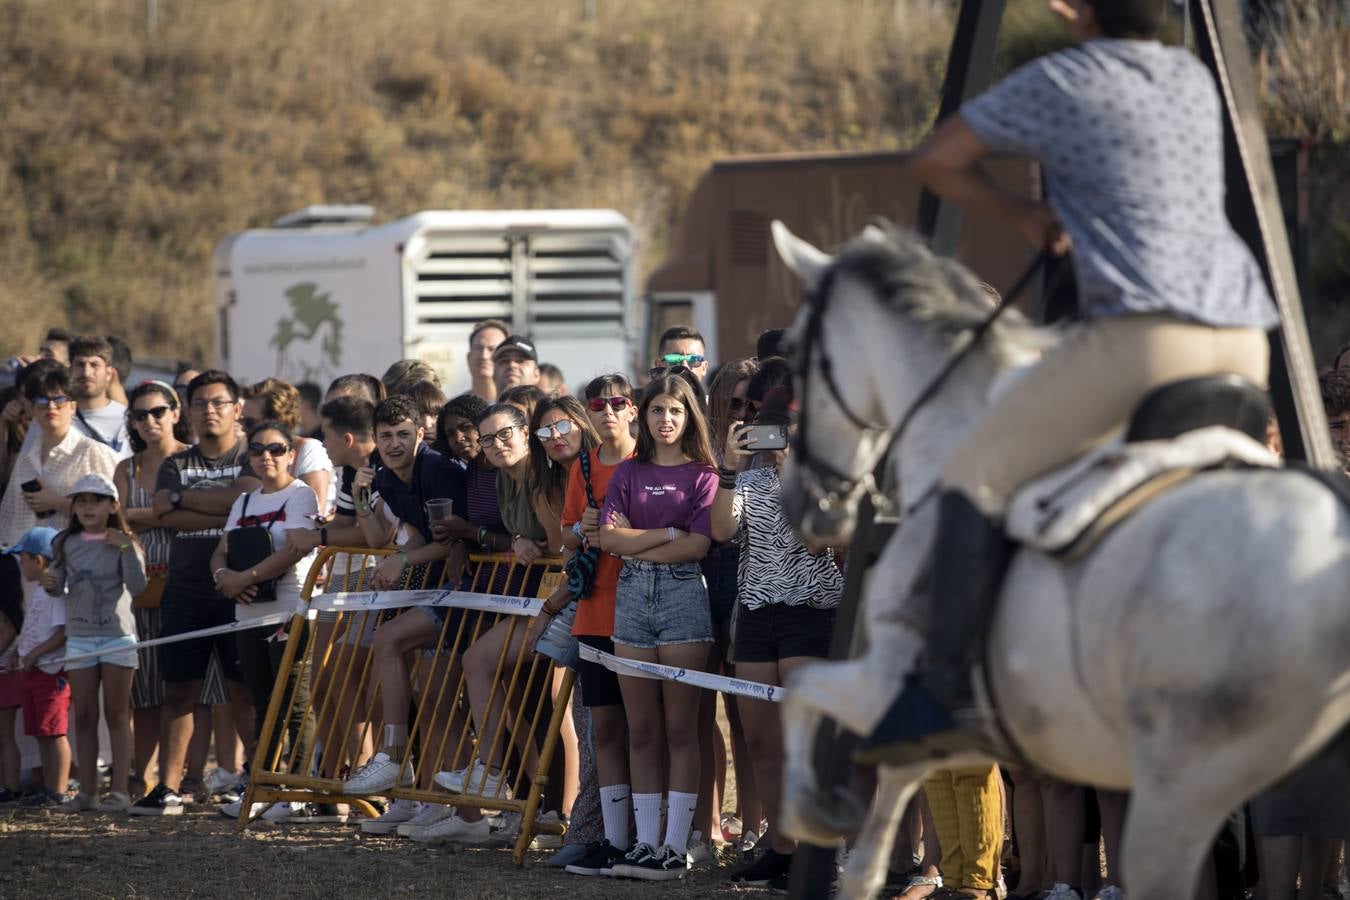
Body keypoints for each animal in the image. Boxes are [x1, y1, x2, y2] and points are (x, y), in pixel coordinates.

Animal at [766, 223, 1350, 900]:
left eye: (798, 353)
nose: (805, 503)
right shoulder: (936, 723)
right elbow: (888, 803)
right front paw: (855, 857)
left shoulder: (888, 678)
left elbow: (802, 688)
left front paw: (812, 811)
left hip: (1179, 789)